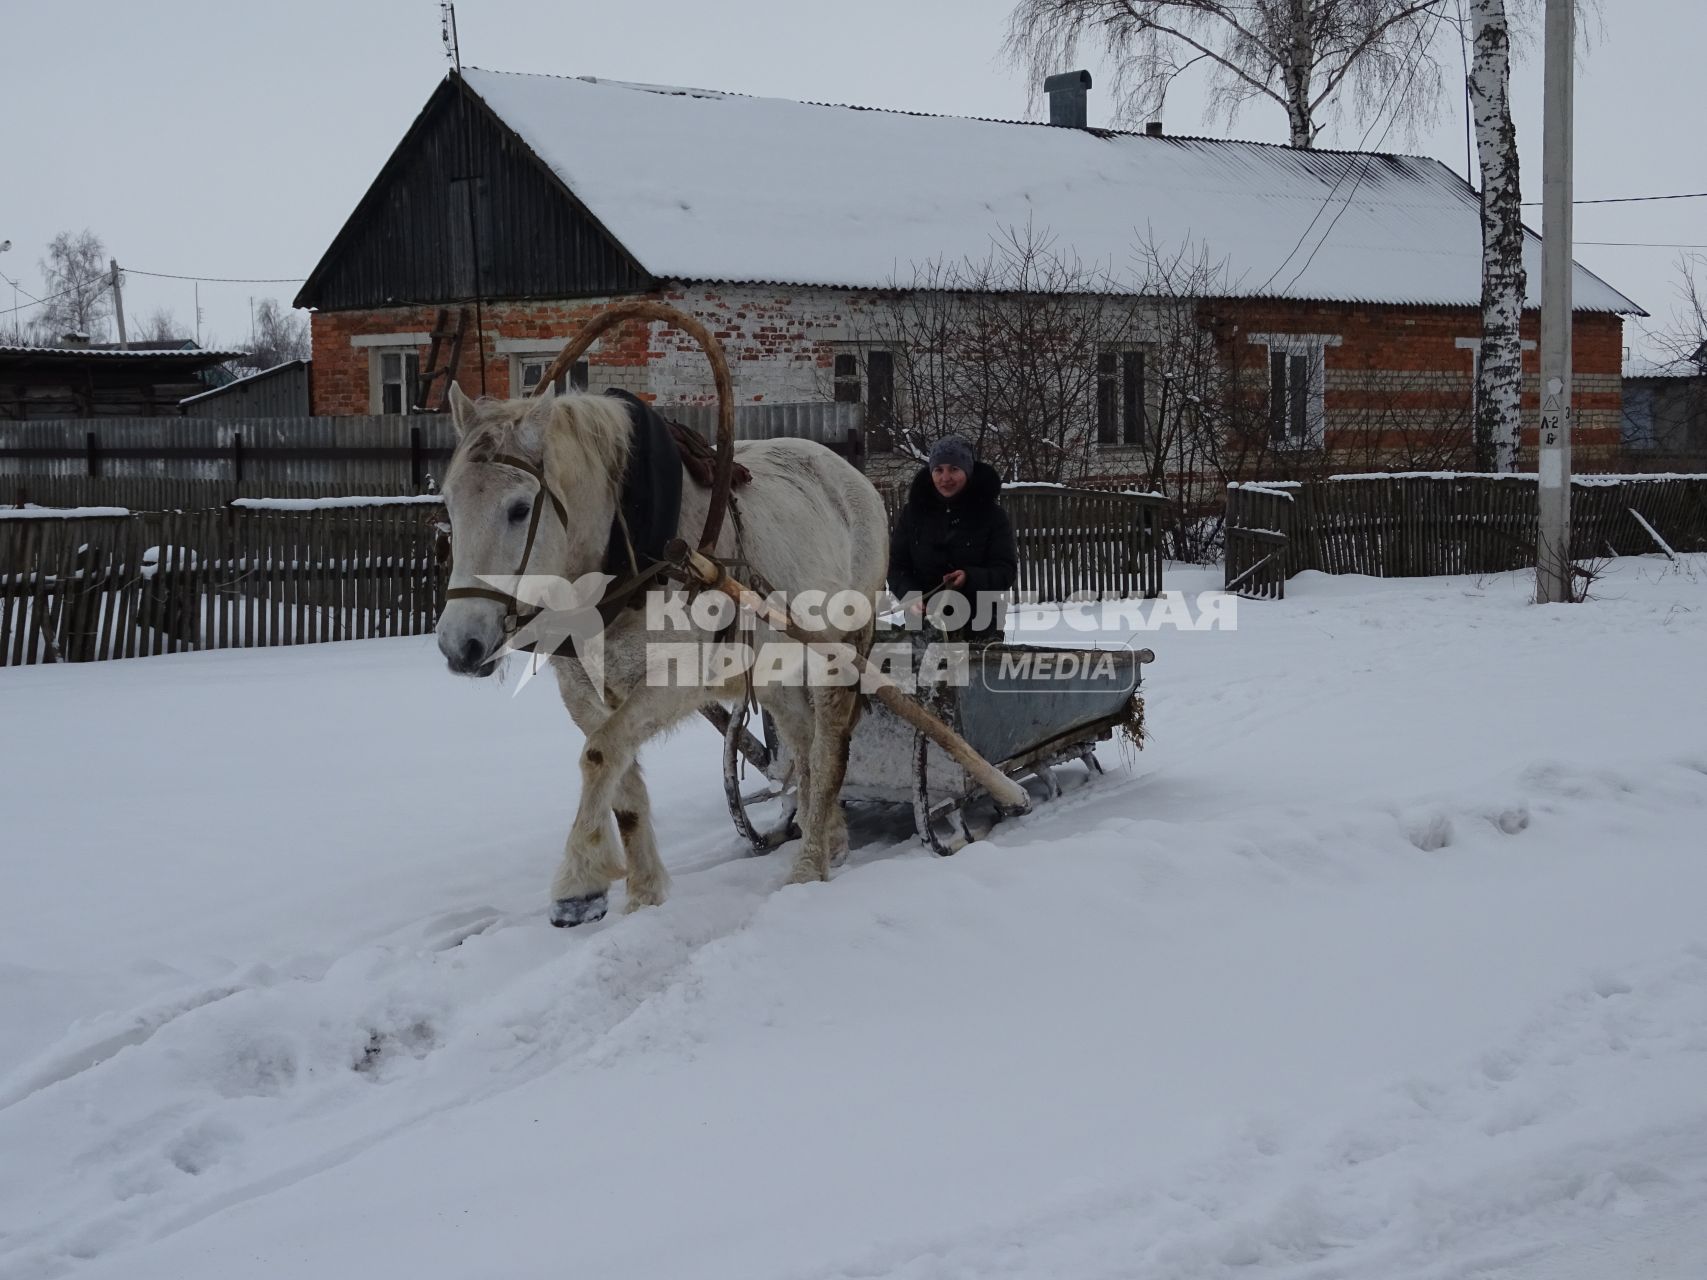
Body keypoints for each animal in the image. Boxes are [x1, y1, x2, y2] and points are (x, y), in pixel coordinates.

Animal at [433, 385, 887, 928]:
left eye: (520, 508)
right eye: (449, 504)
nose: (460, 645)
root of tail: (852, 477)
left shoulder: (676, 679)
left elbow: (599, 754)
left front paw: (579, 881)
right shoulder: (582, 691)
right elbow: (620, 779)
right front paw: (642, 898)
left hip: (839, 650)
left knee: (828, 749)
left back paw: (808, 865)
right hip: (774, 667)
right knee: (803, 744)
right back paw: (832, 840)